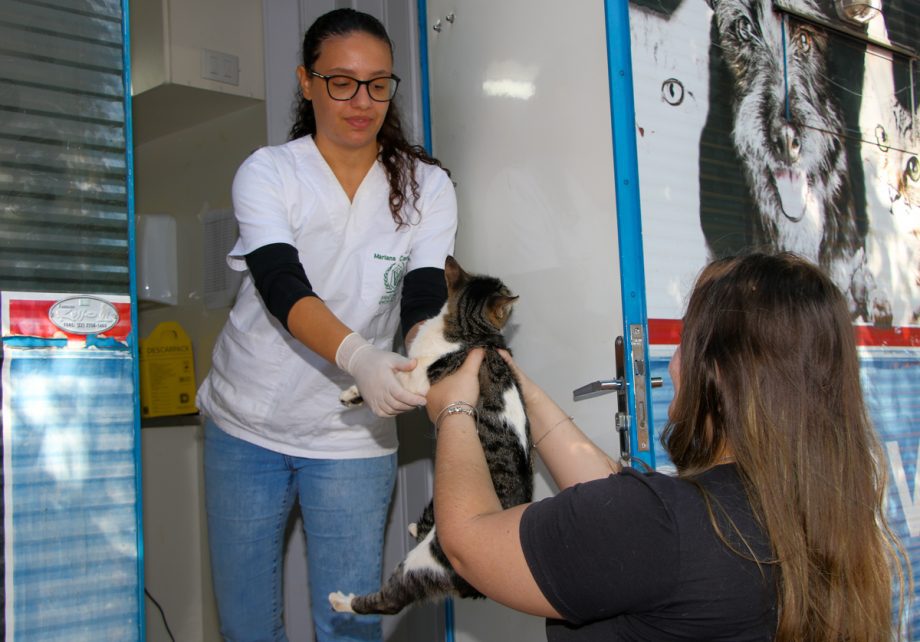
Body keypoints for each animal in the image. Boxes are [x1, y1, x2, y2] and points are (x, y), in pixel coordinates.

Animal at [330, 252, 532, 612]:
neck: (465, 329)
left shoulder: (418, 380)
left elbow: (399, 374)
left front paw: (360, 392)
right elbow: (392, 367)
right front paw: (356, 390)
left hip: (425, 562)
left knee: (390, 601)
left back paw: (342, 601)